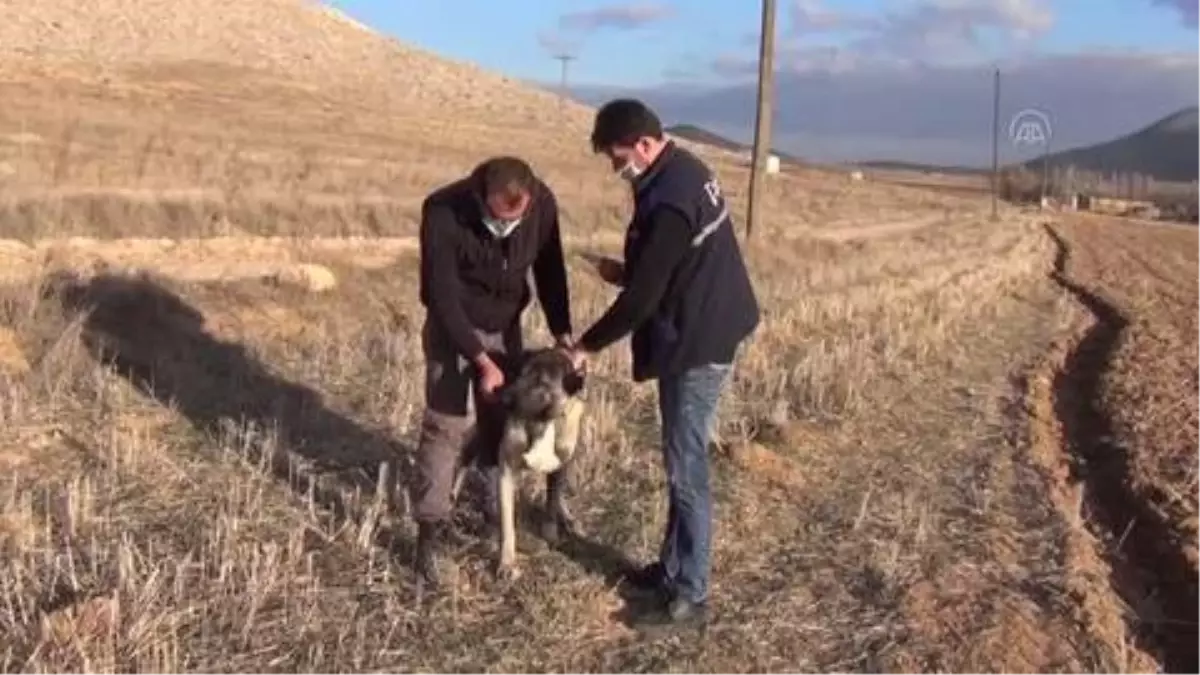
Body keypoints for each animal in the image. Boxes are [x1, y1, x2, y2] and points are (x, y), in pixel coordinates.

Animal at [451, 345, 585, 578]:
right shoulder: (506, 468)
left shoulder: (560, 465)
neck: (542, 422)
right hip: (485, 432)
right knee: (466, 457)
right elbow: (507, 524)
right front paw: (506, 563)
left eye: (541, 381)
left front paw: (551, 532)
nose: (501, 396)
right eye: (521, 373)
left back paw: (568, 518)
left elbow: (552, 501)